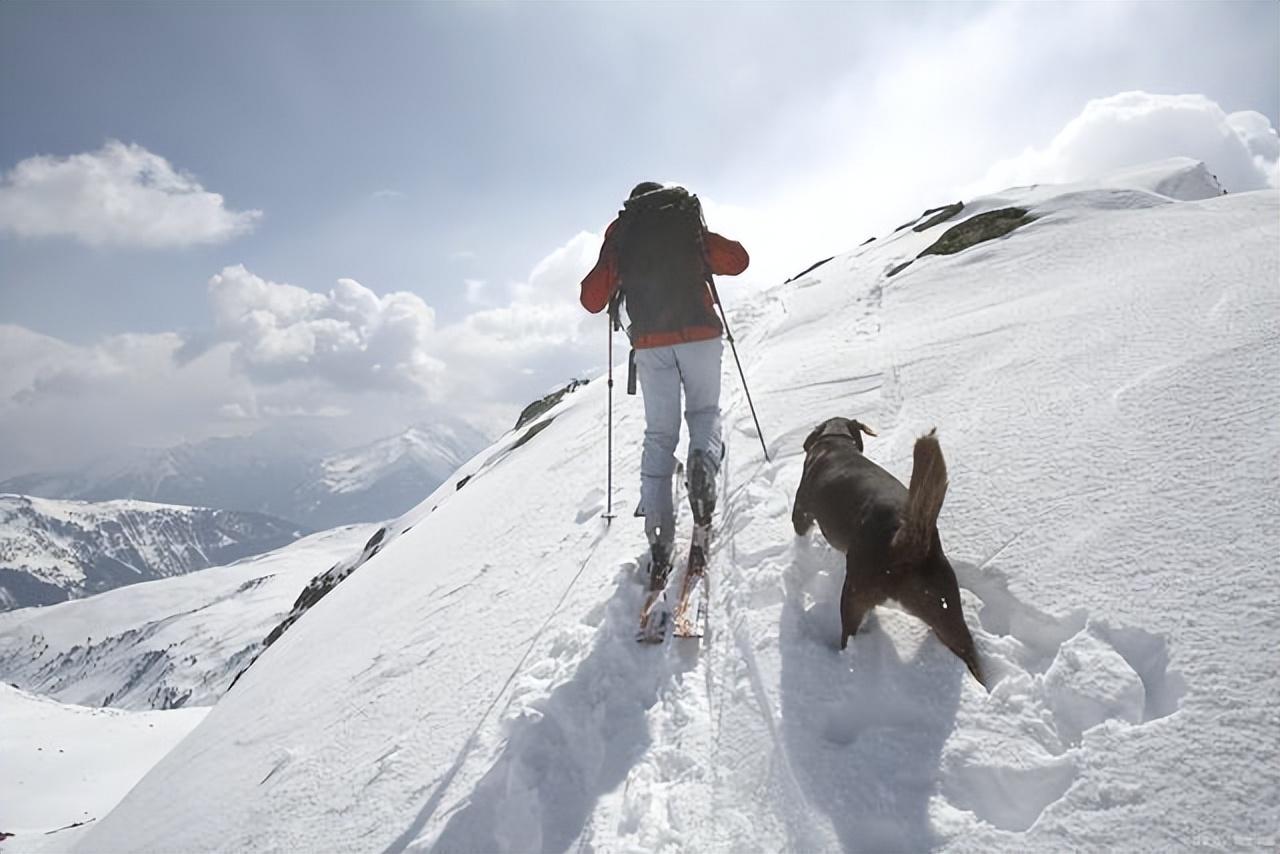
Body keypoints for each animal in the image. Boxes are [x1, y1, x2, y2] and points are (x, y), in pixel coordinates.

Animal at [793, 417, 983, 686]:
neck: (835, 441)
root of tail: (907, 541)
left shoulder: (801, 510)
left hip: (853, 595)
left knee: (848, 636)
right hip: (946, 611)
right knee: (970, 653)